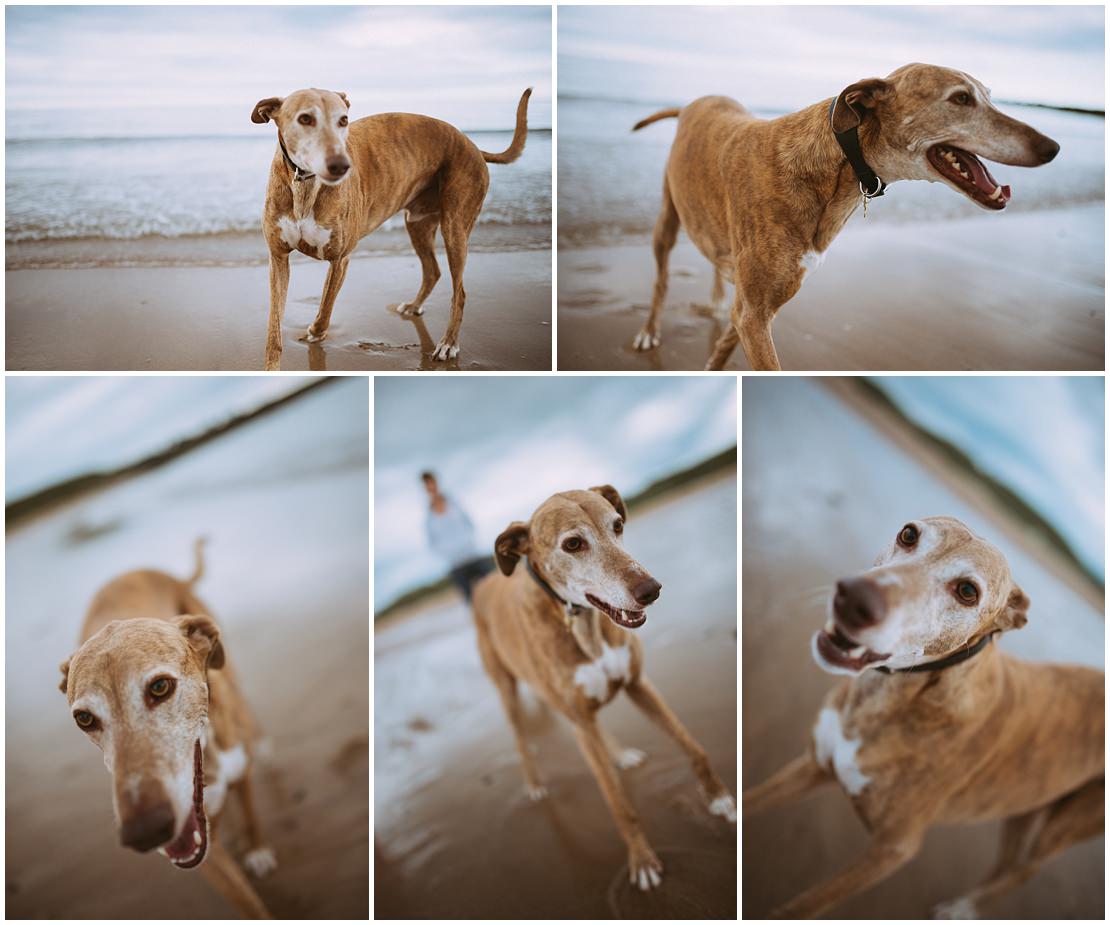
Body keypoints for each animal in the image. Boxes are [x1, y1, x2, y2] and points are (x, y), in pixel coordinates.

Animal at [59, 541, 275, 915]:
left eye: (160, 687)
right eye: (84, 718)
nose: (145, 832)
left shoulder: (239, 771)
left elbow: (249, 812)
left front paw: (255, 848)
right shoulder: (206, 854)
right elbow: (245, 900)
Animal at [254, 87, 530, 370]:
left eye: (343, 120)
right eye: (305, 118)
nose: (341, 165)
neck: (305, 183)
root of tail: (473, 146)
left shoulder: (340, 259)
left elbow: (326, 305)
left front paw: (316, 333)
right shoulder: (278, 259)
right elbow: (274, 329)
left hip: (455, 228)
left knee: (460, 292)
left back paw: (448, 343)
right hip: (418, 224)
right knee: (433, 271)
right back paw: (415, 306)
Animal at [470, 486, 737, 892]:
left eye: (618, 525)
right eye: (573, 543)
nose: (651, 591)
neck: (582, 622)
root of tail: (484, 583)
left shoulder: (640, 685)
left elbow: (693, 747)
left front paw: (721, 799)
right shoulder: (579, 720)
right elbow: (618, 804)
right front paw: (642, 860)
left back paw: (620, 754)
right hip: (506, 690)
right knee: (520, 739)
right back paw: (535, 784)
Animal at [634, 62, 1056, 368]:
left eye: (987, 96)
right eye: (961, 98)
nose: (1052, 147)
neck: (835, 160)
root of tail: (694, 103)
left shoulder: (757, 311)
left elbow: (726, 344)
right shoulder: (755, 314)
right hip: (666, 220)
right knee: (660, 280)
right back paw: (649, 329)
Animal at [745, 519, 1101, 915]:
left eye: (967, 591)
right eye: (909, 534)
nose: (852, 598)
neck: (891, 695)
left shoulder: (893, 849)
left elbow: (803, 906)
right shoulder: (812, 767)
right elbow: (746, 803)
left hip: (1063, 827)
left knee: (1024, 870)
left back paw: (964, 908)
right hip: (1024, 807)